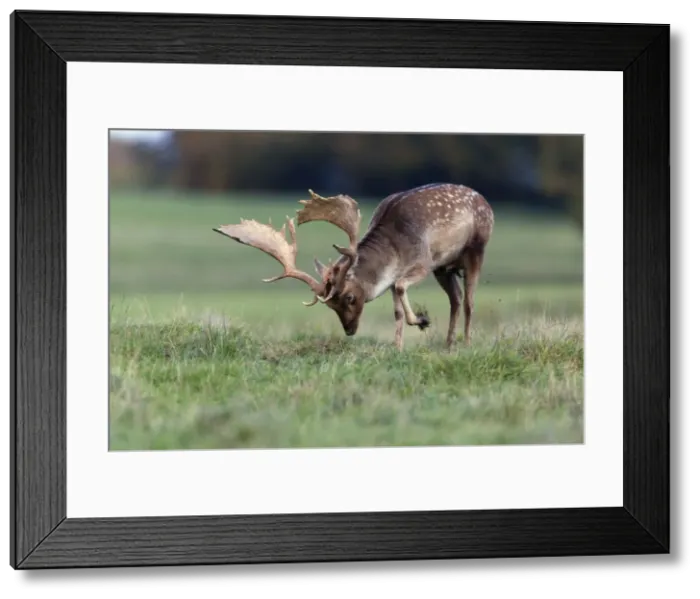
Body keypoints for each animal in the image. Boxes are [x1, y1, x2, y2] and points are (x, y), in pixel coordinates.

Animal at [213, 183, 494, 350]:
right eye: (330, 306)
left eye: (349, 297)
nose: (349, 330)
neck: (395, 249)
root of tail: (486, 203)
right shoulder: (401, 274)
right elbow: (397, 311)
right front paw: (398, 347)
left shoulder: (423, 262)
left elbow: (401, 287)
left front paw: (422, 320)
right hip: (444, 268)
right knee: (456, 298)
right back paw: (448, 344)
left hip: (475, 250)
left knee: (469, 301)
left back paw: (467, 344)